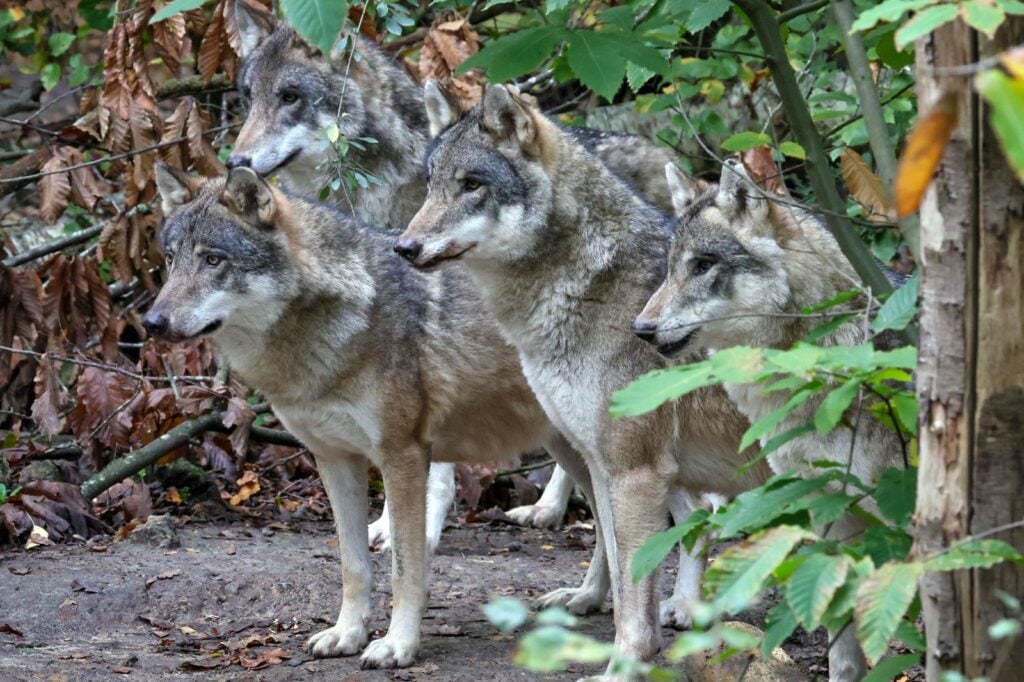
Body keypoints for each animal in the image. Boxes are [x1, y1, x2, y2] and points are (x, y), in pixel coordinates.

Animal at [396, 82, 770, 671]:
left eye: (472, 185)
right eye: (431, 184)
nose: (404, 247)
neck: (589, 288)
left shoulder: (634, 467)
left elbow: (633, 587)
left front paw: (626, 664)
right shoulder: (613, 461)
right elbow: (623, 572)